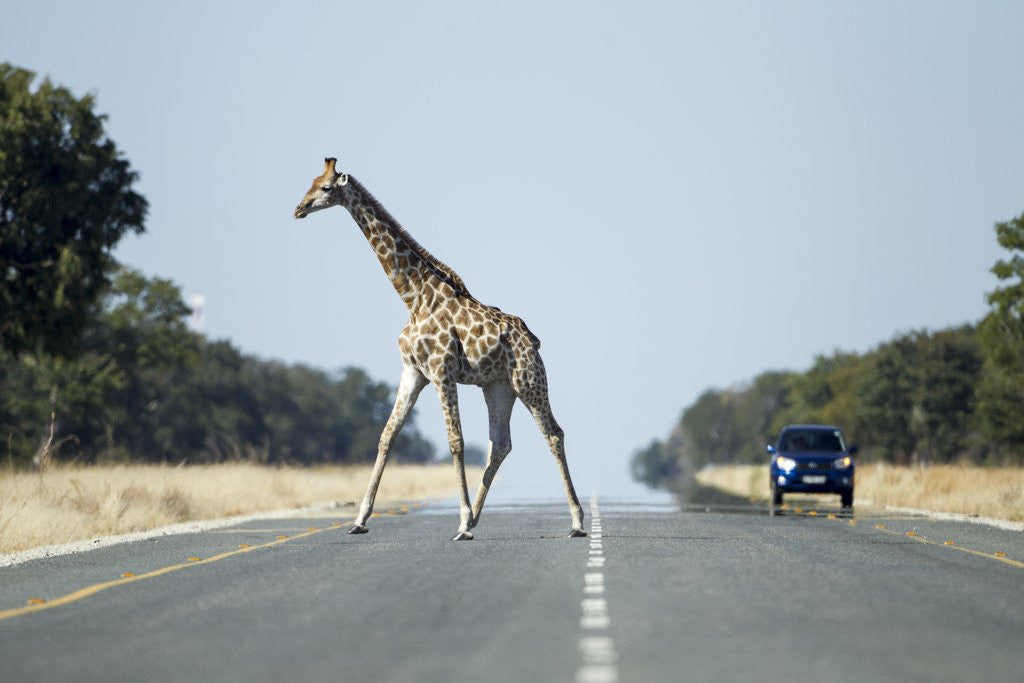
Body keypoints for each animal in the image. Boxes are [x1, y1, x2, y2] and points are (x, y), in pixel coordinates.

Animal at [294, 158, 586, 541]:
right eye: (311, 182)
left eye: (326, 188)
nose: (298, 209)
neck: (413, 297)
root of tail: (532, 339)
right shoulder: (413, 372)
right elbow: (386, 436)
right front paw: (359, 520)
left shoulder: (440, 370)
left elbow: (455, 441)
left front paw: (460, 521)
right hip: (498, 387)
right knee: (500, 444)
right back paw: (475, 519)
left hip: (529, 380)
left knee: (553, 434)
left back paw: (576, 522)